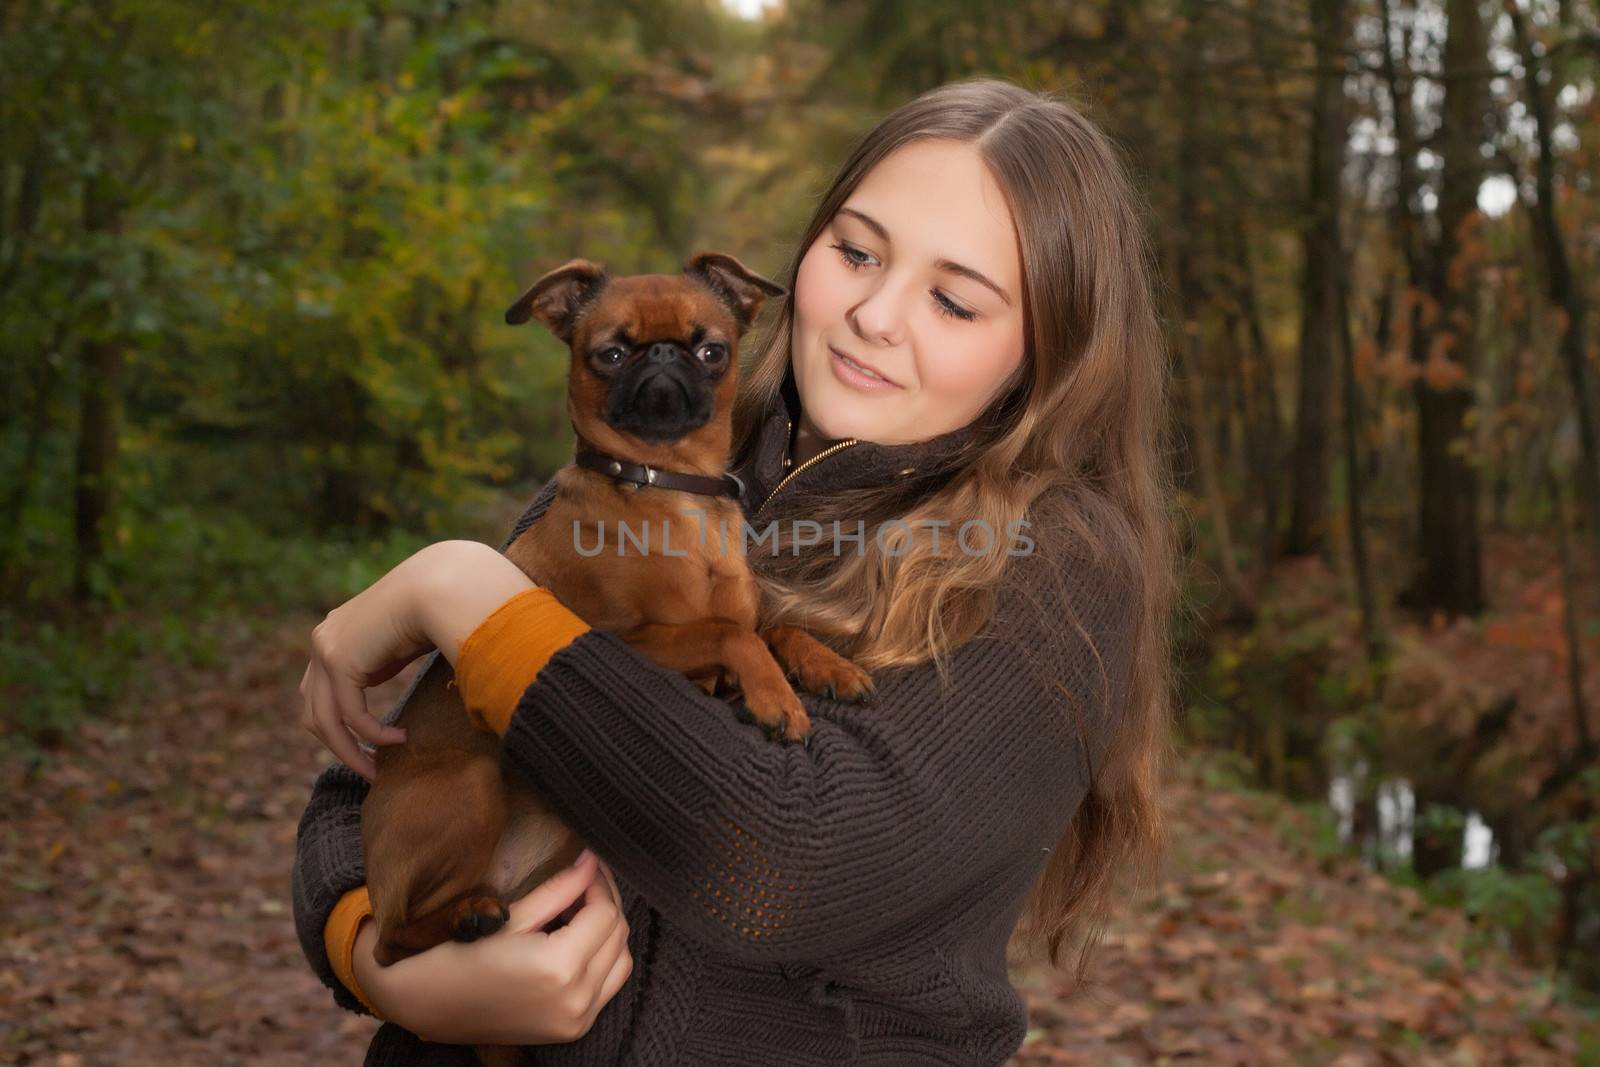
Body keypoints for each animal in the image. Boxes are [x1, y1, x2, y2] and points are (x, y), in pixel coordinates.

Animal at [364, 254, 876, 1062]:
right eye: (608, 353)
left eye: (711, 349)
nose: (662, 358)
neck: (669, 490)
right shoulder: (621, 640)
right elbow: (733, 634)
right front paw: (778, 701)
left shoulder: (734, 620)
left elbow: (772, 626)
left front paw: (828, 665)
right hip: (471, 784)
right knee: (389, 946)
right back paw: (468, 918)